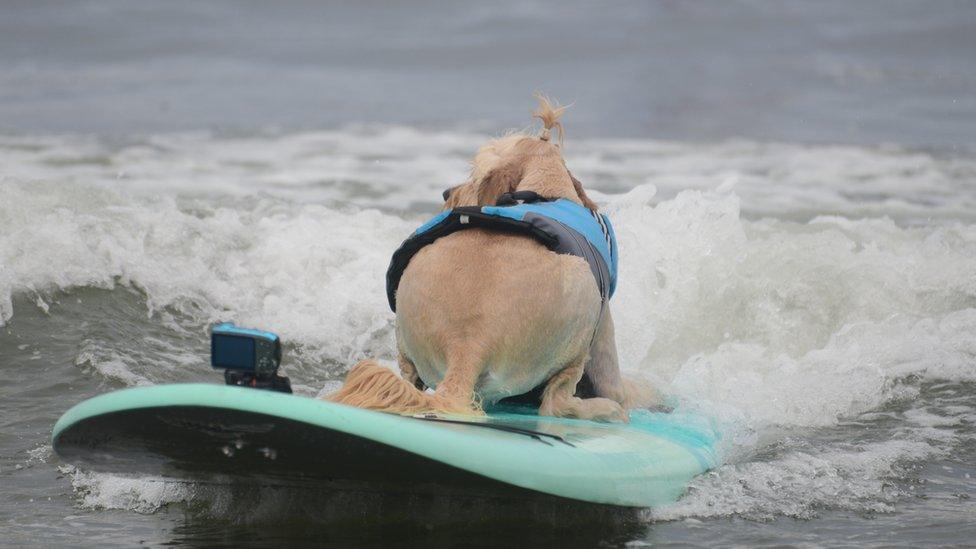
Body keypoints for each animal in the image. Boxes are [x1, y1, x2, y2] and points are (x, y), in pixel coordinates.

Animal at [328, 94, 656, 422]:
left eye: (474, 174)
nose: (446, 193)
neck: (544, 189)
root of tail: (467, 347)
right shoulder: (603, 326)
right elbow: (614, 383)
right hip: (581, 302)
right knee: (558, 402)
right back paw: (607, 410)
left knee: (409, 377)